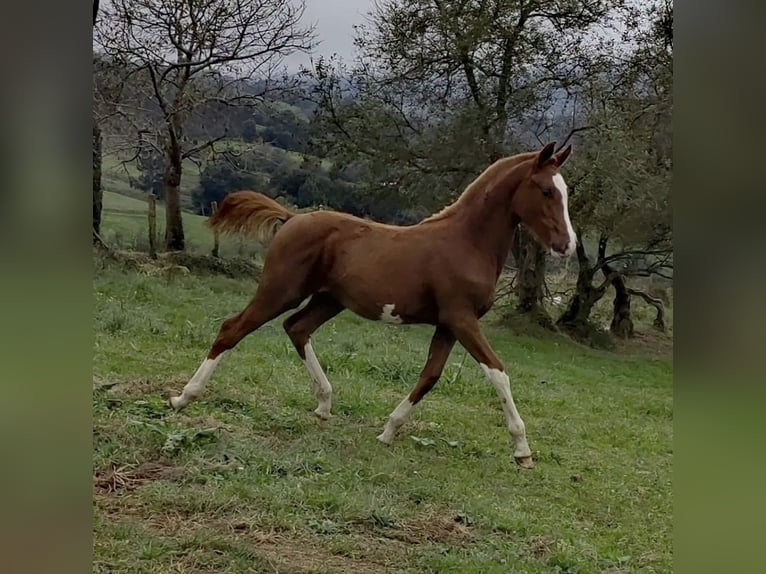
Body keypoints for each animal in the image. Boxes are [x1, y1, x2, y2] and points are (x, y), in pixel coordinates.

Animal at [170, 142, 576, 470]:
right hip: (281, 290)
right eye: (545, 191)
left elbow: (430, 376)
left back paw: (324, 405)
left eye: (565, 192)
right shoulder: (462, 319)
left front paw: (388, 431)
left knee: (296, 328)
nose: (568, 245)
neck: (466, 242)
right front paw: (522, 450)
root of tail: (293, 218)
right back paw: (183, 397)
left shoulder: (447, 324)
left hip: (328, 300)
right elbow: (498, 372)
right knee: (233, 328)